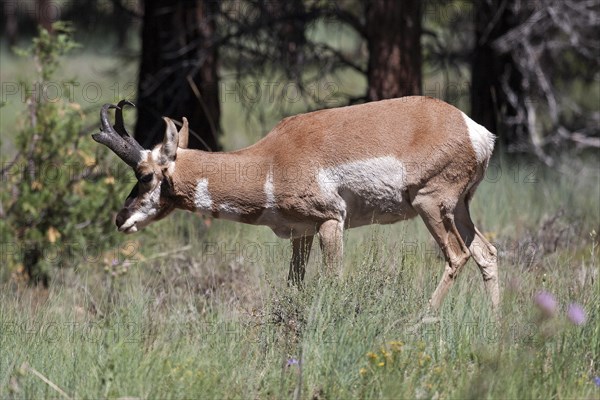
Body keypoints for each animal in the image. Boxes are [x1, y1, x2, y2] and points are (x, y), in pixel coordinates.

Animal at [92, 97, 496, 312]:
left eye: (145, 175)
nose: (119, 219)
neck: (271, 159)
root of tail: (473, 129)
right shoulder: (301, 232)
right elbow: (294, 284)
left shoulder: (331, 222)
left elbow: (333, 280)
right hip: (459, 208)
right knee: (486, 253)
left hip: (430, 203)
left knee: (457, 256)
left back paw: (419, 321)